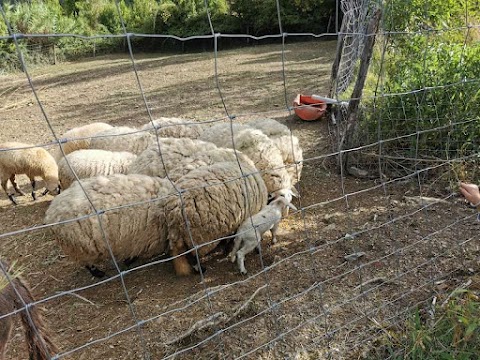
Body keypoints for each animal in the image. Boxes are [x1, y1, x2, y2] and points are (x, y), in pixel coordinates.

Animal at [43, 173, 176, 278]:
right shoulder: (142, 238)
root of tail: (50, 214)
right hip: (81, 247)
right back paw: (98, 273)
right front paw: (129, 261)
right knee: (88, 264)